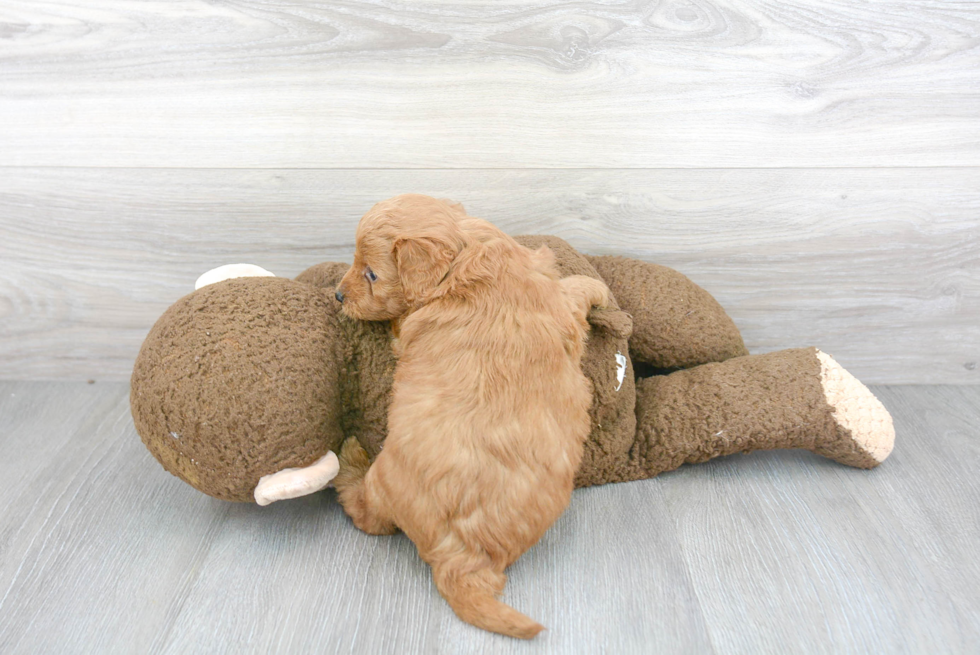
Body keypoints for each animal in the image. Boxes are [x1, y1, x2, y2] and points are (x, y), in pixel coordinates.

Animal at [334, 195, 604, 640]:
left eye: (371, 273)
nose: (338, 295)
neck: (463, 256)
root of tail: (462, 558)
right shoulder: (554, 299)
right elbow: (572, 291)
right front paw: (596, 288)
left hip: (383, 484)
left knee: (365, 514)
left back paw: (350, 456)